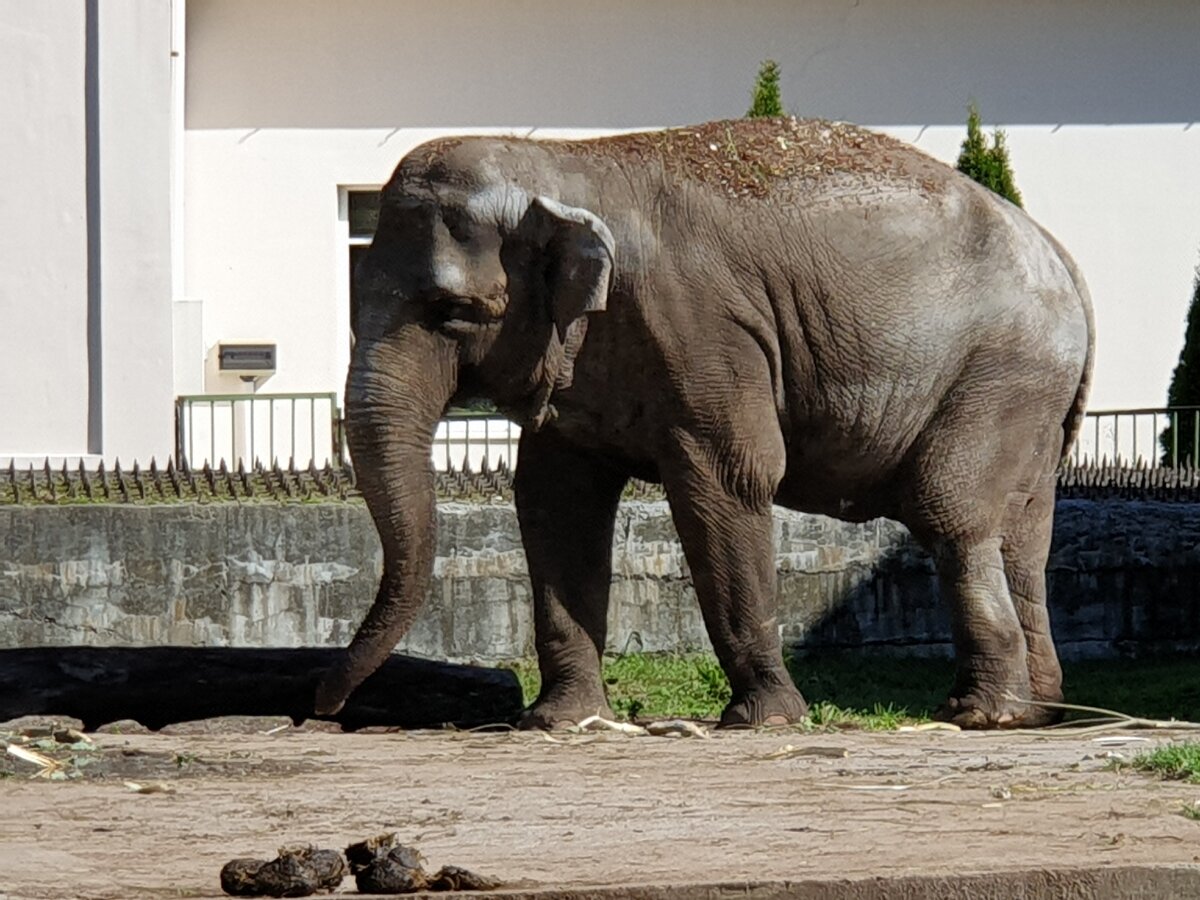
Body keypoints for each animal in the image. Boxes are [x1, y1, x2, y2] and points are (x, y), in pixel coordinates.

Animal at [316, 116, 1099, 734]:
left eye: (452, 311)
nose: (324, 707)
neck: (563, 163)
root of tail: (1062, 258)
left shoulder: (703, 330)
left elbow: (729, 477)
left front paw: (763, 721)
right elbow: (553, 501)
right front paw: (560, 723)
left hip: (1000, 372)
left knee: (953, 515)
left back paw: (980, 715)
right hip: (1033, 399)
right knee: (1024, 534)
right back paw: (1040, 711)